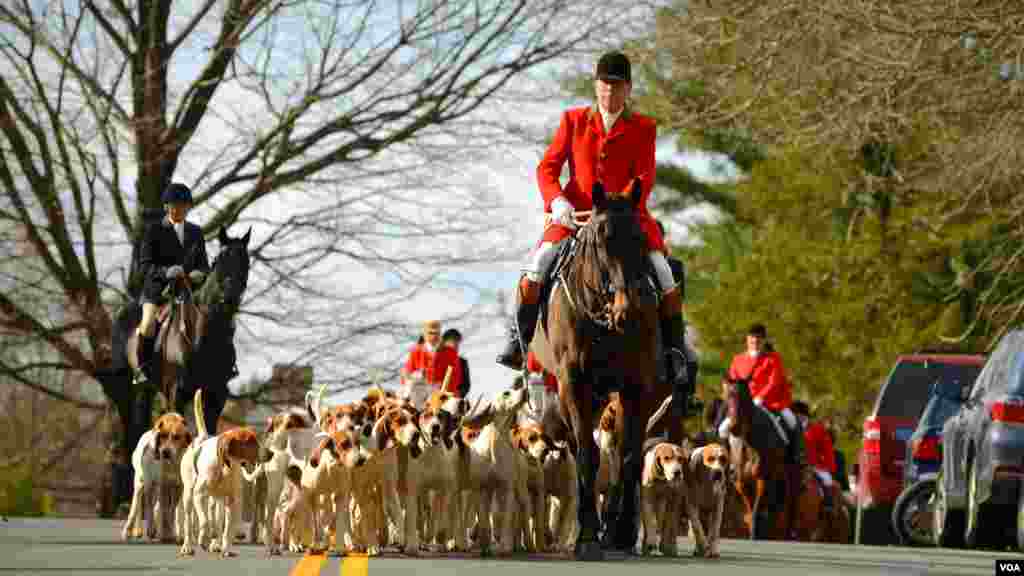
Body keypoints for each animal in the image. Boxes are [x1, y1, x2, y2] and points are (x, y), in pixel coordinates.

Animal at [524, 179, 659, 557]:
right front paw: (586, 534)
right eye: (600, 240)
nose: (628, 310)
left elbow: (628, 457)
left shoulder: (637, 387)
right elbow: (588, 454)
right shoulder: (574, 385)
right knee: (581, 446)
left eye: (641, 239)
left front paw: (621, 531)